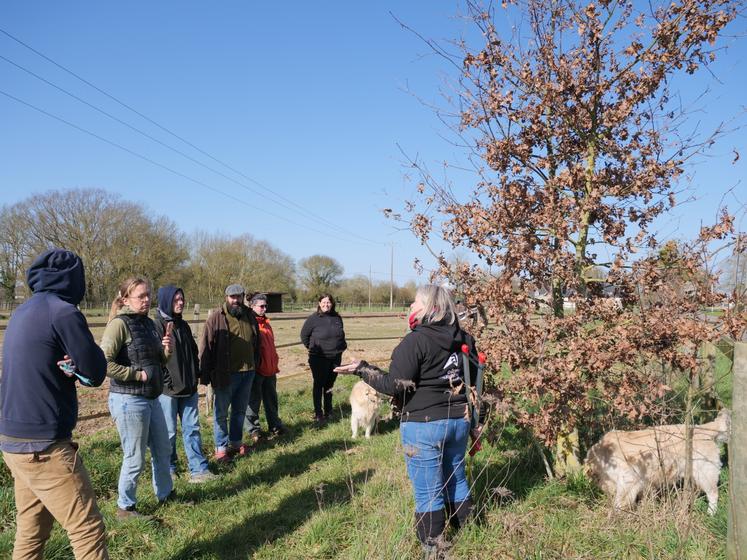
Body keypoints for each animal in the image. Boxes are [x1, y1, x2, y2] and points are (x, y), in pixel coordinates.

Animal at [584, 410, 732, 516]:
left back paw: (711, 514)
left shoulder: (628, 481)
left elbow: (620, 504)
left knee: (713, 494)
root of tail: (702, 428)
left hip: (705, 473)